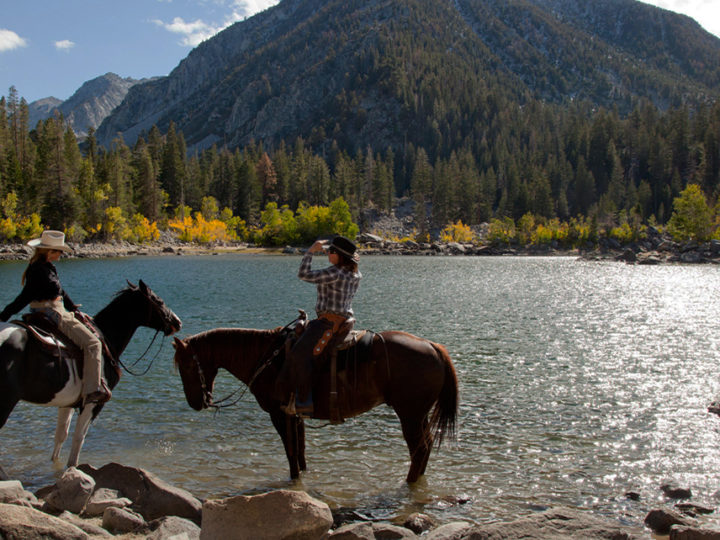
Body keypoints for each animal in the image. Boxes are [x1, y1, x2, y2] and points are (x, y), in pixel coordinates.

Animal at [0, 280, 180, 466]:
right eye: (158, 301)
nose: (177, 322)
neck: (106, 338)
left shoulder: (67, 402)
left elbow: (61, 436)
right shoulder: (94, 402)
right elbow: (79, 438)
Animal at [172, 322, 458, 484]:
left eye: (186, 365)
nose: (195, 403)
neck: (266, 357)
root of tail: (433, 346)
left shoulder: (279, 415)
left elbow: (290, 452)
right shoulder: (295, 415)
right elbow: (300, 451)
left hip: (410, 415)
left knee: (419, 449)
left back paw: (408, 484)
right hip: (419, 415)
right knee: (425, 447)